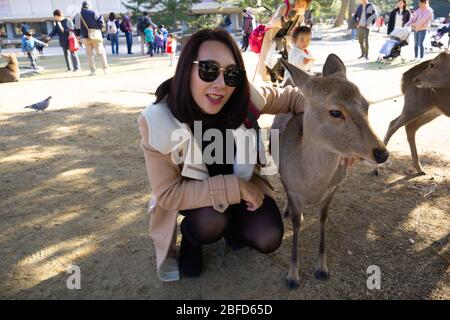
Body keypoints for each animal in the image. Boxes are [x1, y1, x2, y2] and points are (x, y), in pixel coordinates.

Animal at [272, 55, 388, 290]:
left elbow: (323, 218)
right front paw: (293, 276)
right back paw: (286, 210)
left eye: (367, 105)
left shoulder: (334, 186)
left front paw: (322, 268)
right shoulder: (293, 188)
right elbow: (297, 222)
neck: (312, 183)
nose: (382, 153)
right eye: (335, 112)